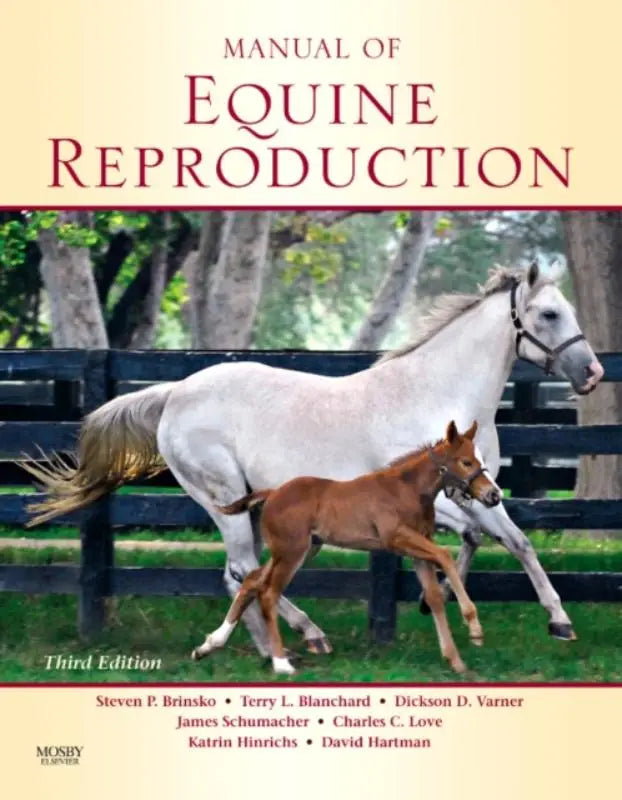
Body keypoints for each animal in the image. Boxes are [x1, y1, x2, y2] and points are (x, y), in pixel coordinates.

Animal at [192, 421, 501, 674]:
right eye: (466, 462)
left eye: (478, 460)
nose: (493, 495)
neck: (408, 490)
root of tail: (272, 493)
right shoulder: (396, 538)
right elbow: (445, 555)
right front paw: (474, 629)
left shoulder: (417, 549)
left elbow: (434, 596)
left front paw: (456, 661)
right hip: (292, 552)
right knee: (268, 592)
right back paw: (281, 663)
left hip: (298, 549)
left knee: (253, 581)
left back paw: (210, 645)